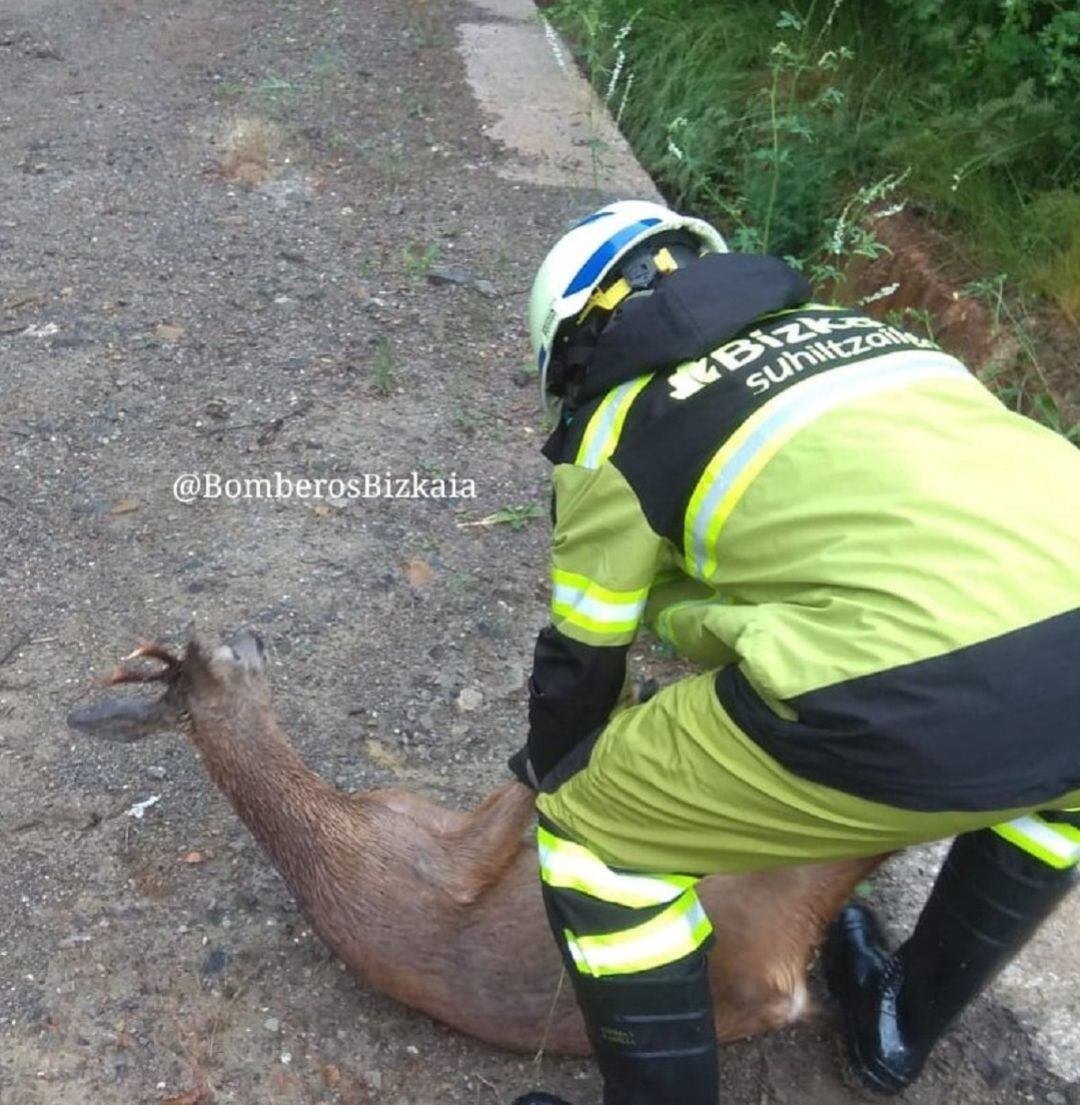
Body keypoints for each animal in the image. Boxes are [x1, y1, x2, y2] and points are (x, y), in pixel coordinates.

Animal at [69, 632, 884, 1051]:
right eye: (225, 657)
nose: (257, 633)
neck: (329, 830)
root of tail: (782, 975)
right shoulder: (440, 862)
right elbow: (526, 787)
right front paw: (619, 693)